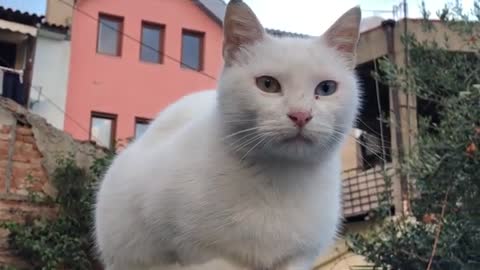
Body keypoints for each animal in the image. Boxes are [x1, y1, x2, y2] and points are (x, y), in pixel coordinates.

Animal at [94, 1, 360, 268]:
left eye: (326, 88)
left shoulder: (298, 258)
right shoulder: (199, 251)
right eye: (267, 84)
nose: (301, 115)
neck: (278, 179)